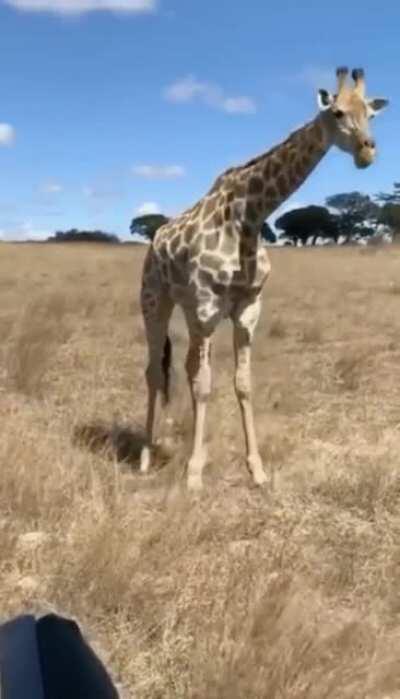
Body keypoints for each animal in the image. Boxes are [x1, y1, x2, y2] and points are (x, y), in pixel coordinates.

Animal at [139, 67, 388, 491]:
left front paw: (255, 469)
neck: (250, 217)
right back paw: (145, 455)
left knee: (185, 368)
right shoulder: (207, 307)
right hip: (155, 301)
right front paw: (194, 475)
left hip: (188, 311)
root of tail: (154, 239)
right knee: (155, 371)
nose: (367, 152)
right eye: (337, 112)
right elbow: (206, 384)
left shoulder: (246, 309)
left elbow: (241, 383)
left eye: (371, 113)